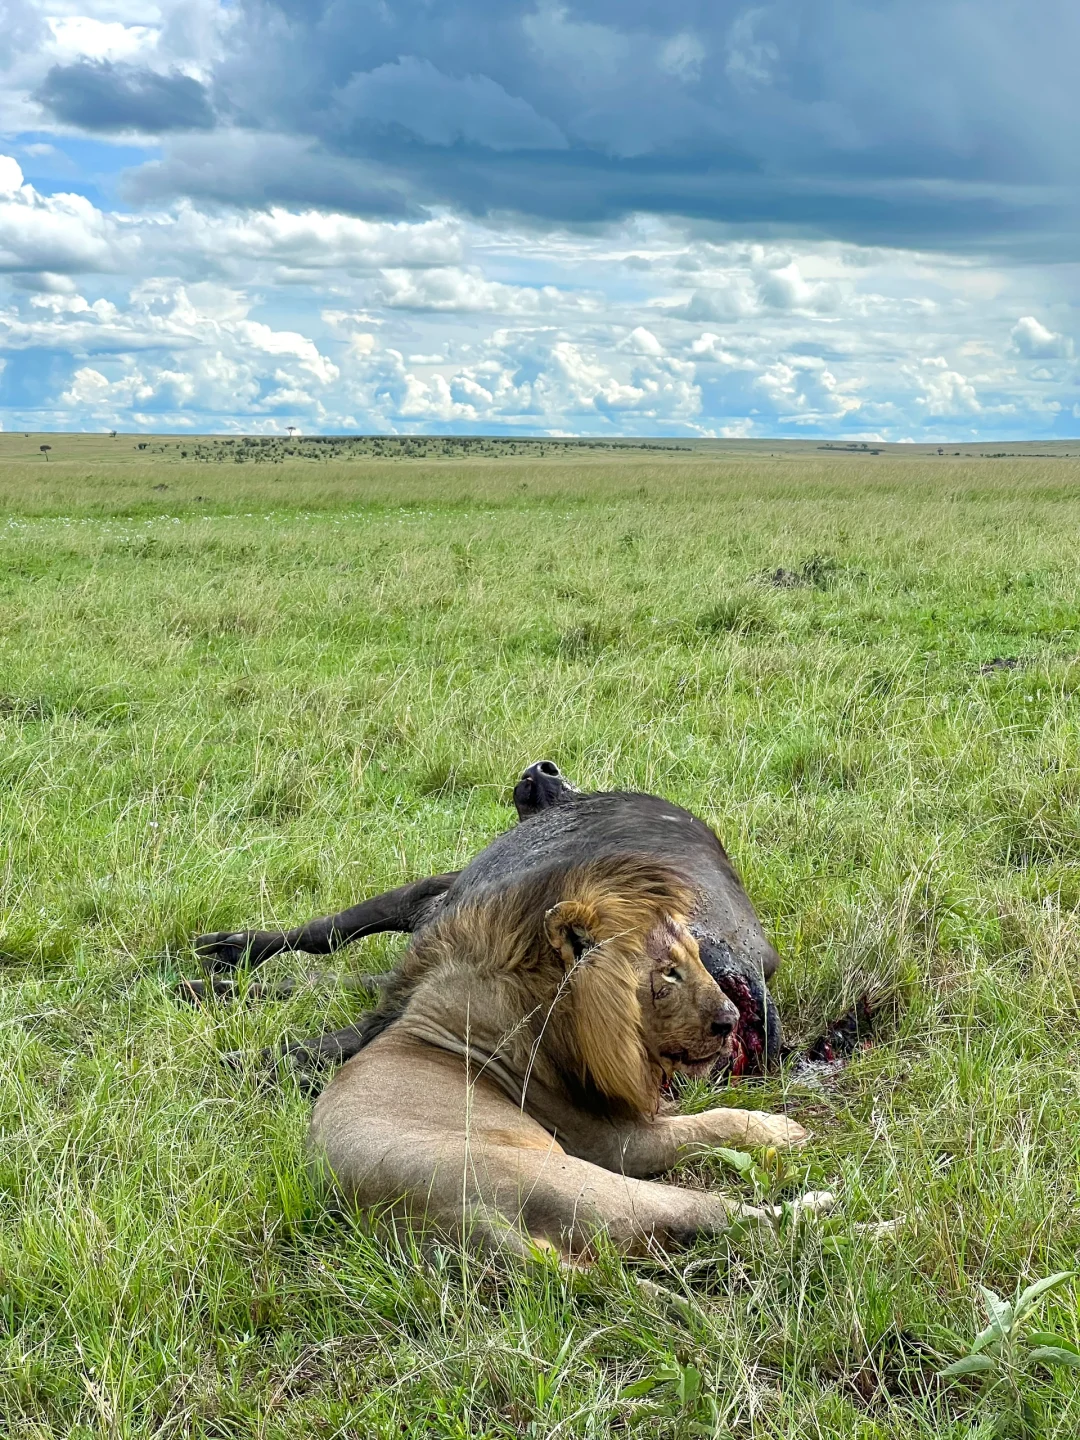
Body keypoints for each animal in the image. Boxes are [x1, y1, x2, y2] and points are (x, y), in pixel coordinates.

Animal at [305, 852, 817, 1261]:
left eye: (696, 956)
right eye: (668, 972)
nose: (732, 1019)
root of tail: (466, 1220)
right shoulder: (615, 1143)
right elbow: (709, 1122)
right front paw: (780, 1129)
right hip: (585, 1180)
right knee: (730, 1217)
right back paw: (823, 1206)